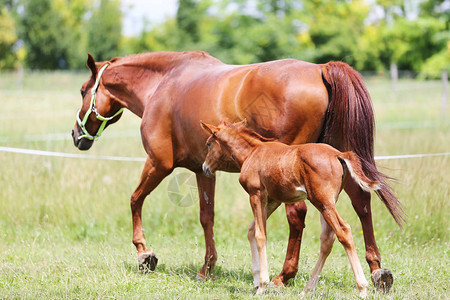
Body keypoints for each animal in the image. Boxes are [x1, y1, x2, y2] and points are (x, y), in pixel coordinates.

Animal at [200, 120, 380, 296]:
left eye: (208, 143)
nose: (205, 168)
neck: (252, 153)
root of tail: (339, 154)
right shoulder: (273, 200)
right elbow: (251, 231)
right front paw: (257, 281)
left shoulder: (256, 194)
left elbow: (260, 235)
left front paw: (263, 285)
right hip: (328, 202)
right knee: (327, 239)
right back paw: (308, 289)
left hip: (323, 202)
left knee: (343, 231)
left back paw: (362, 288)